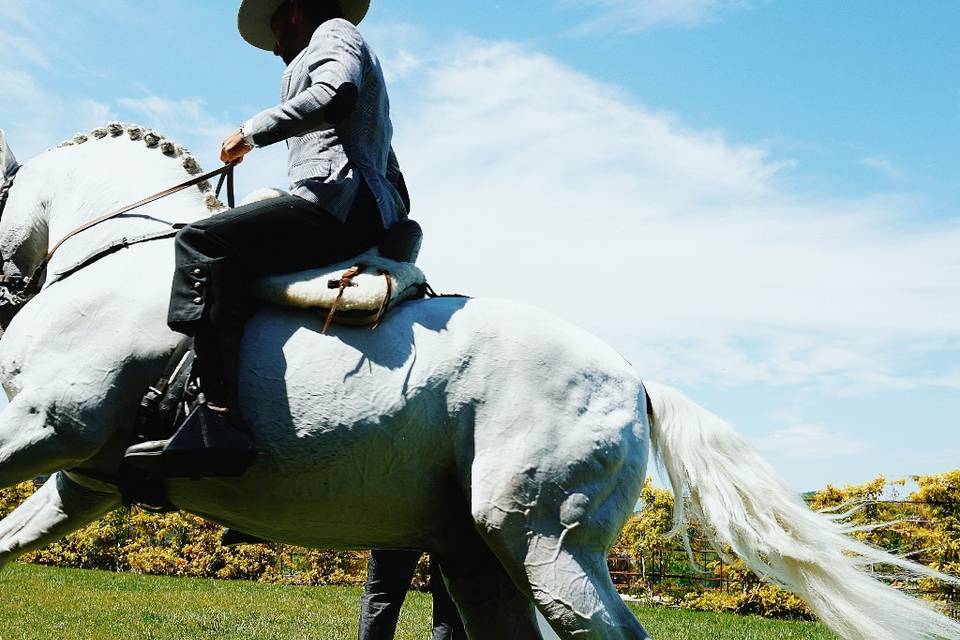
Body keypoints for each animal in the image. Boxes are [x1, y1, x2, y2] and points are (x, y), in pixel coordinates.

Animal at [0, 125, 956, 640]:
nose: (5, 283)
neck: (113, 256)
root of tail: (634, 380)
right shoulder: (81, 480)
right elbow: (11, 540)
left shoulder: (44, 425)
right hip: (477, 552)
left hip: (537, 541)